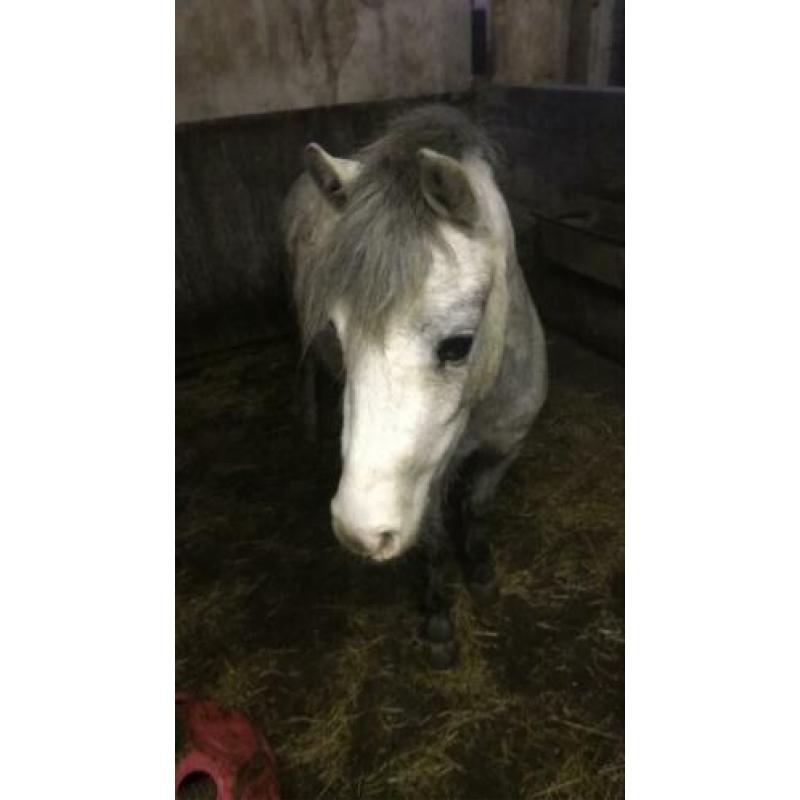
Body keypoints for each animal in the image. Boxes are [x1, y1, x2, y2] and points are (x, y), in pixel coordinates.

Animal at [281, 105, 547, 666]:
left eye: (459, 346)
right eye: (339, 333)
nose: (359, 532)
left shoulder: (504, 451)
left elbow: (477, 510)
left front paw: (482, 574)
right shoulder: (427, 481)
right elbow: (432, 543)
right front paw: (439, 618)